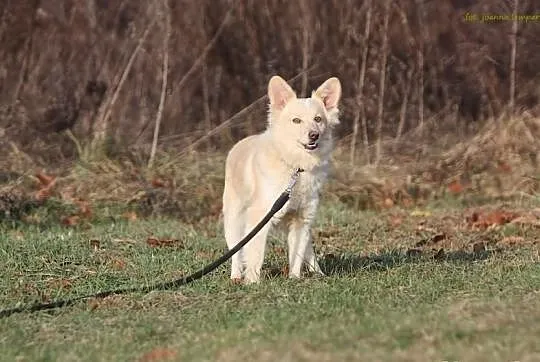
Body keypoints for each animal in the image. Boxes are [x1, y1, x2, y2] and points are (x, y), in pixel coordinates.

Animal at [220, 75, 340, 282]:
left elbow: (297, 255)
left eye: (318, 119)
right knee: (236, 251)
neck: (297, 166)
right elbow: (255, 254)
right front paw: (252, 282)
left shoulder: (302, 219)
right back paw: (236, 276)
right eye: (296, 120)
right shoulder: (260, 217)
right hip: (234, 218)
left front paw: (294, 278)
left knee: (308, 249)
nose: (314, 135)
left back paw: (318, 272)